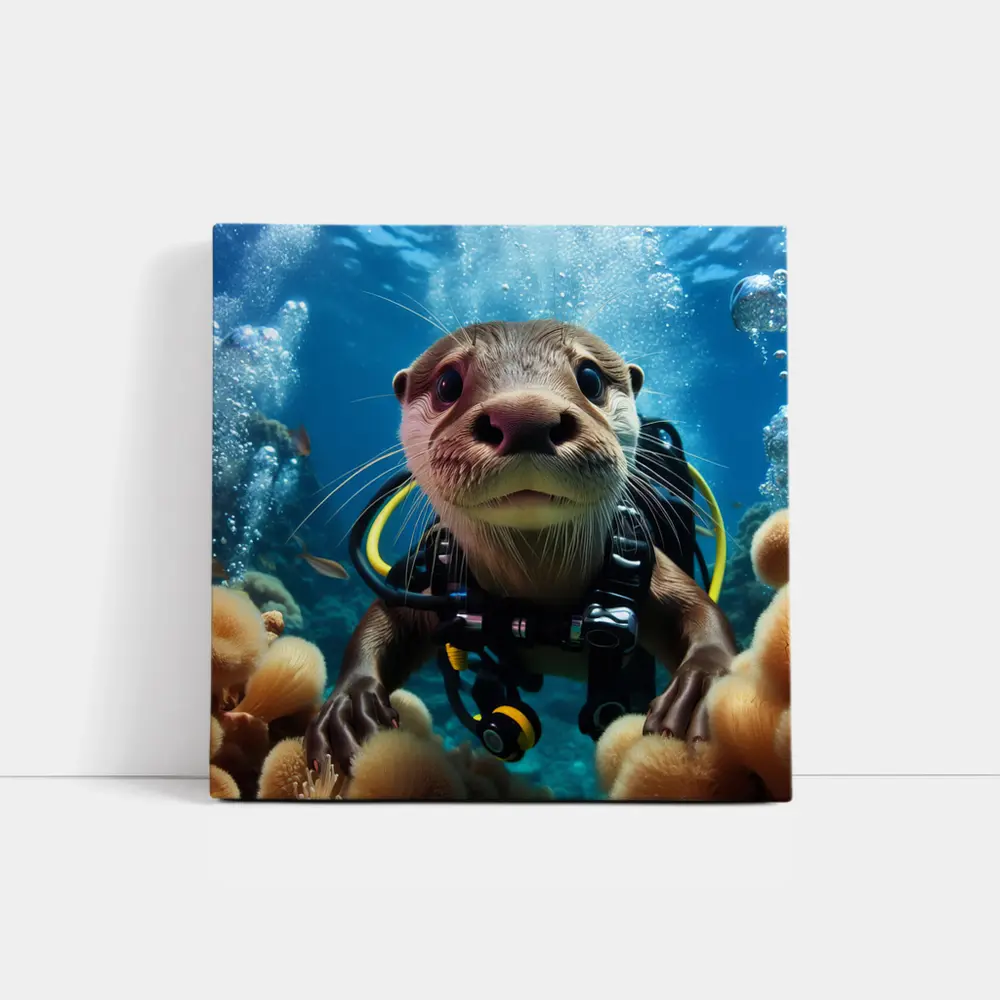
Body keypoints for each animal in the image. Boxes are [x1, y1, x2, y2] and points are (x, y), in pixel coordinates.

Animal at [305, 320, 737, 775]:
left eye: (590, 379)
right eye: (447, 384)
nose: (525, 415)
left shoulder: (639, 559)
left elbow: (700, 611)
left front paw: (703, 687)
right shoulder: (437, 581)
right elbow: (385, 617)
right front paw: (349, 706)